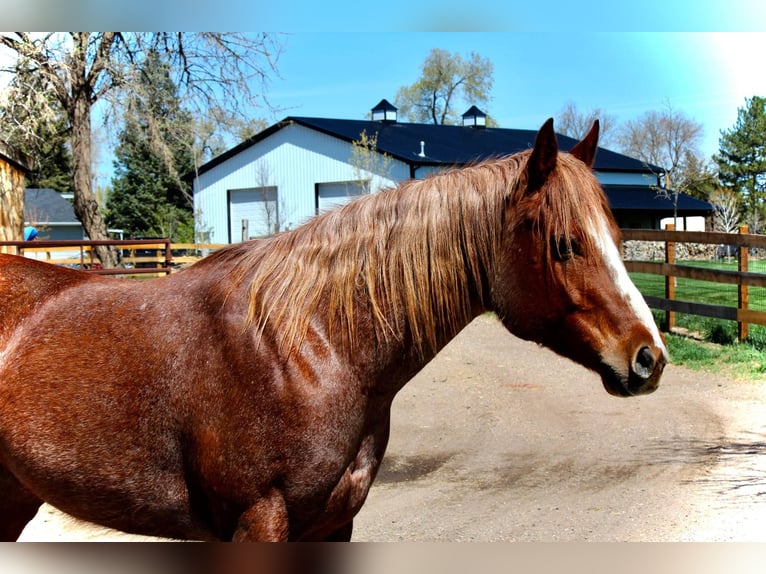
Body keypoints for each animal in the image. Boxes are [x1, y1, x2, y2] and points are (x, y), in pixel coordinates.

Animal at [0, 119, 667, 542]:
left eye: (617, 232)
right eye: (565, 243)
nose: (649, 357)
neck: (309, 349)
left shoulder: (335, 523)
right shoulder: (257, 523)